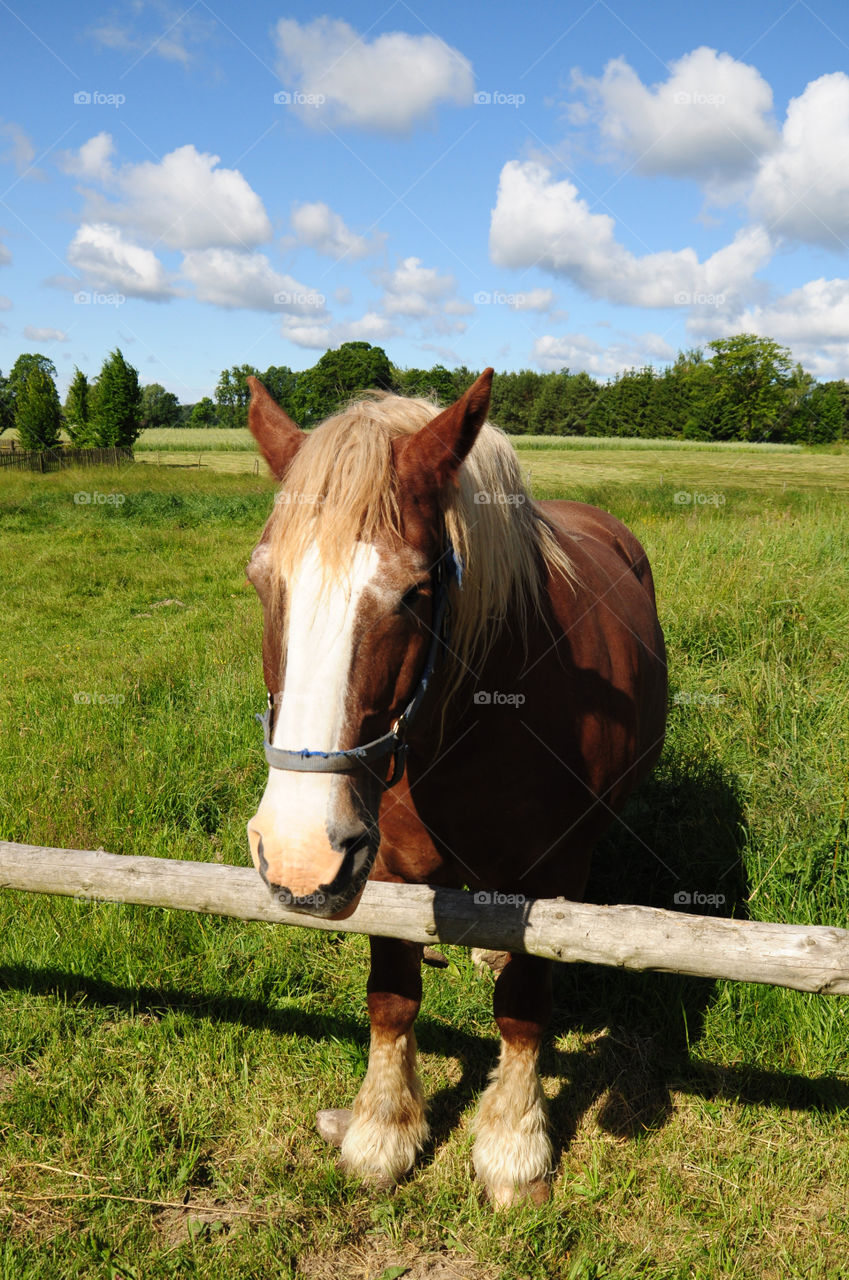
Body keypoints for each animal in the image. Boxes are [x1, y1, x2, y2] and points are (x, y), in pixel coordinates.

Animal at [242, 366, 665, 1203]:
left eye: (413, 593)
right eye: (260, 579)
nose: (297, 857)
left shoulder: (554, 874)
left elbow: (524, 1009)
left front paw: (513, 1147)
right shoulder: (376, 863)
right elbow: (391, 996)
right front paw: (382, 1132)